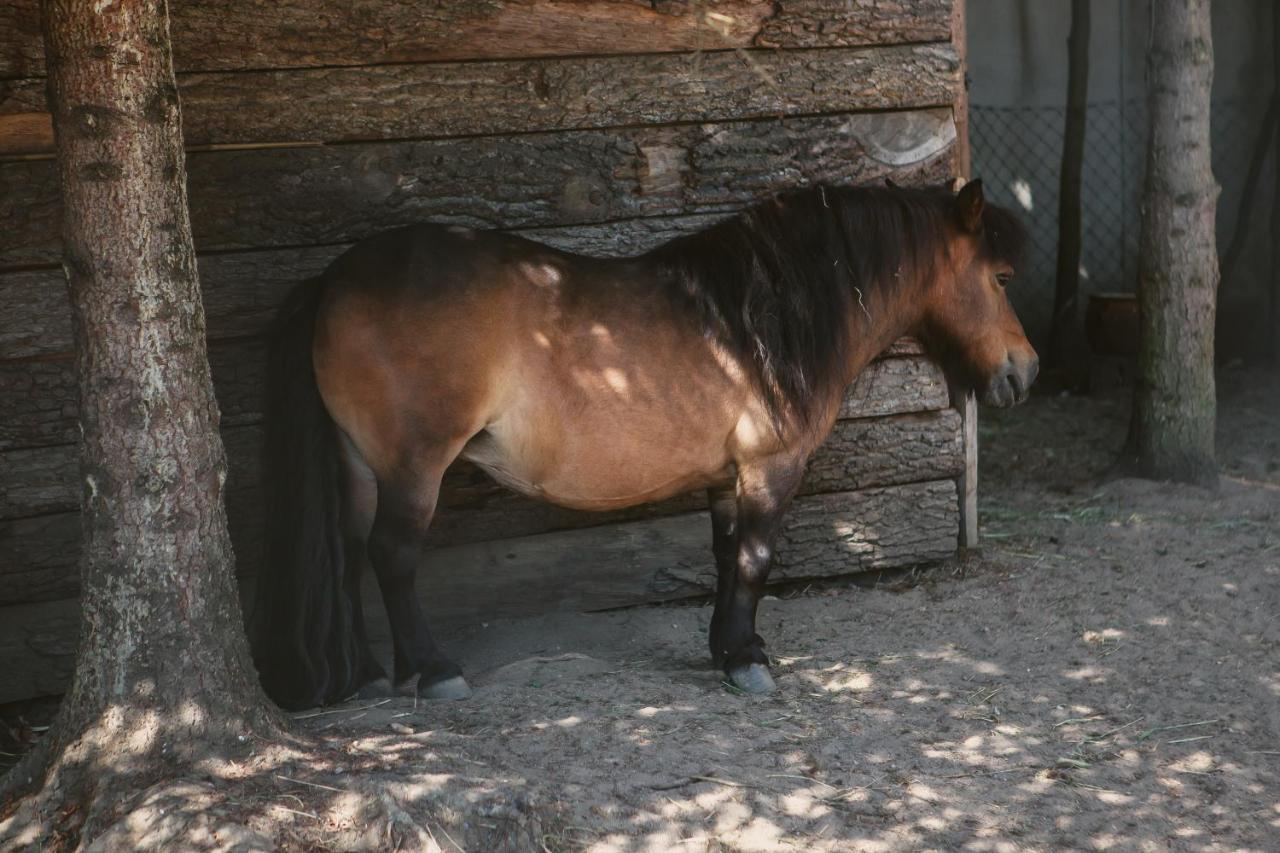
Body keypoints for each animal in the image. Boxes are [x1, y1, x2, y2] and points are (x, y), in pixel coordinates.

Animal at [249, 178, 1039, 701]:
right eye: (1001, 278)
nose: (1024, 371)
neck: (760, 318)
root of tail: (334, 279)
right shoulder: (770, 469)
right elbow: (756, 560)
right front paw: (748, 660)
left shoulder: (727, 476)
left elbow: (727, 558)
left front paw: (726, 646)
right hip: (413, 465)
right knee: (391, 555)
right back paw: (433, 670)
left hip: (359, 461)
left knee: (351, 552)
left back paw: (367, 674)